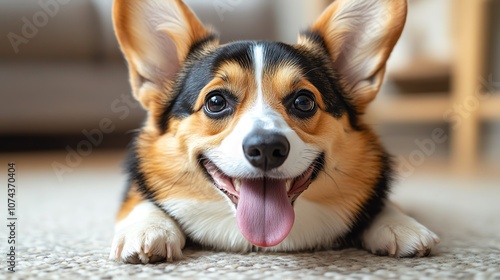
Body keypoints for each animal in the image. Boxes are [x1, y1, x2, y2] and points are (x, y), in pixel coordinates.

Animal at [110, 0, 442, 264]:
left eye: (304, 101)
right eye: (216, 102)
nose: (267, 149)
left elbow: (381, 201)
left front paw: (400, 225)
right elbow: (141, 199)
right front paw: (148, 228)